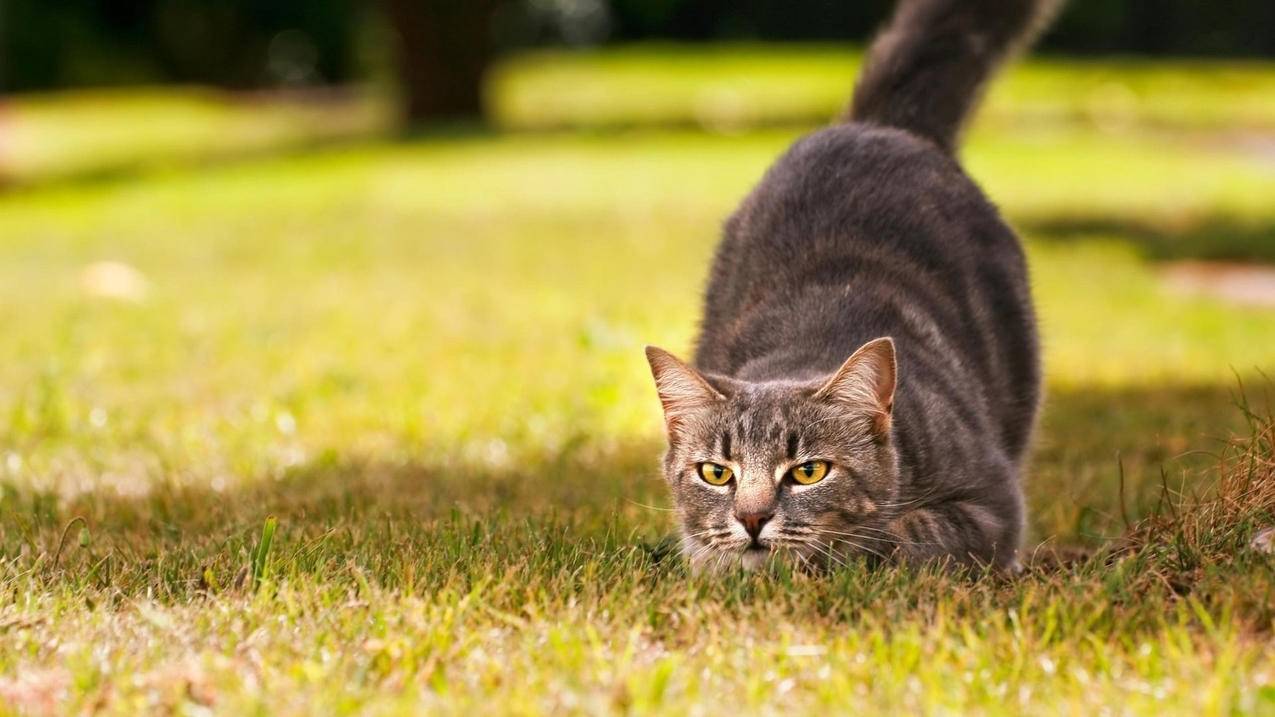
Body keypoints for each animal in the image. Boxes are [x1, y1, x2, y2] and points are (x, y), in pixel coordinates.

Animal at [642, 0, 1060, 569]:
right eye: (716, 473)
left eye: (808, 472)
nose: (751, 518)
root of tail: (875, 125)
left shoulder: (991, 504)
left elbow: (903, 533)